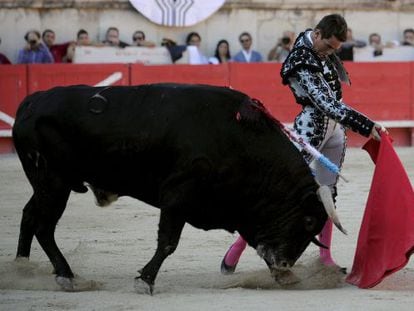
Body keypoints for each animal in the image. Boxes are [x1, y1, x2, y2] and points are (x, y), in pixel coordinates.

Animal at [12, 83, 334, 292]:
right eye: (307, 221)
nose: (284, 266)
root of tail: (31, 102)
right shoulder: (178, 195)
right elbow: (168, 242)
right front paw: (145, 281)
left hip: (45, 185)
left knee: (29, 216)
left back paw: (21, 268)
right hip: (54, 183)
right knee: (44, 226)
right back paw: (66, 276)